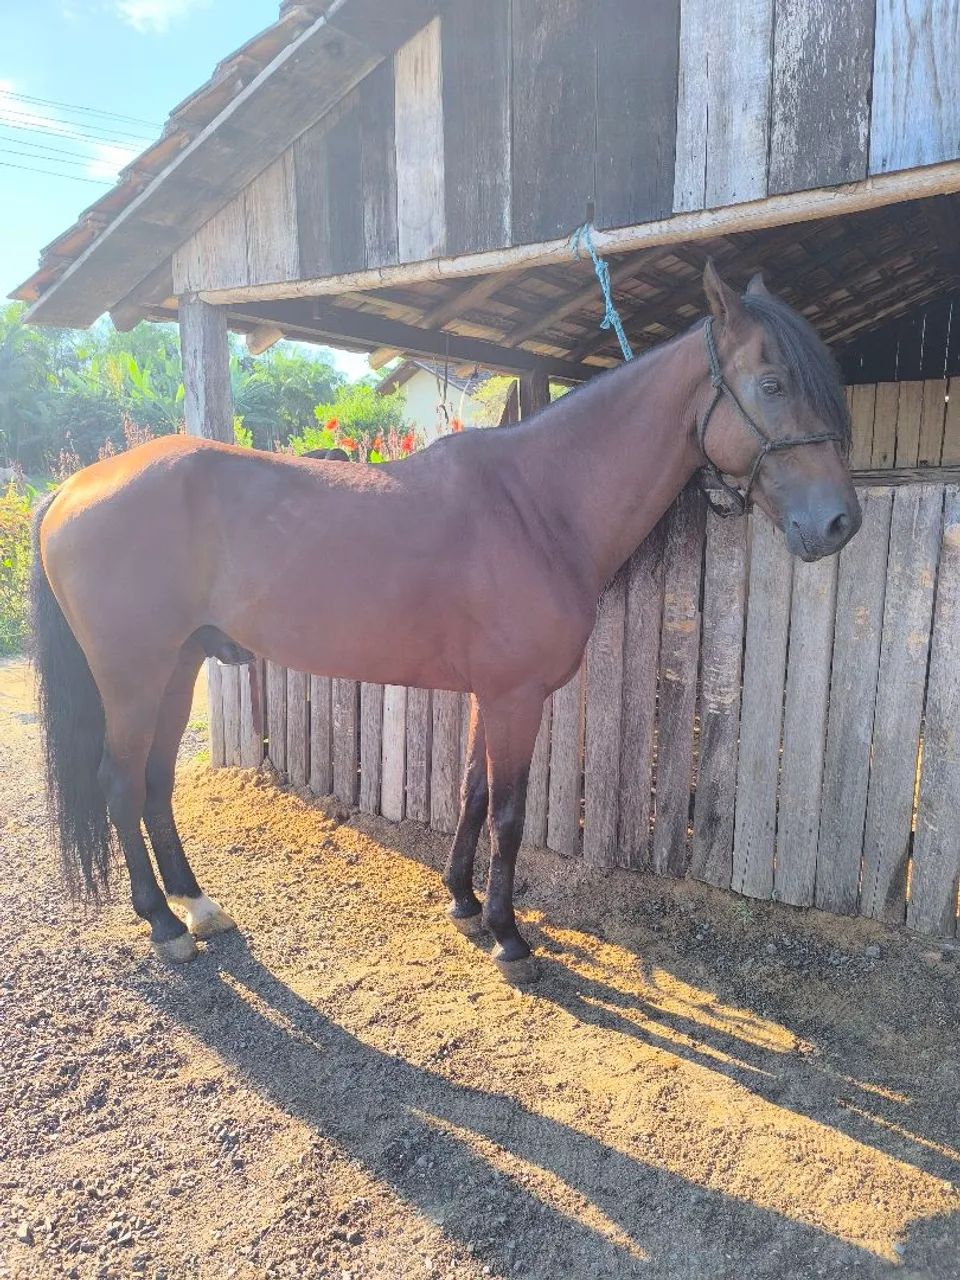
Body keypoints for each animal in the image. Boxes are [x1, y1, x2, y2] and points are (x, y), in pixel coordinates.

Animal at [30, 265, 860, 983]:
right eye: (773, 383)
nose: (838, 522)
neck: (538, 506)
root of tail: (73, 487)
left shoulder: (488, 697)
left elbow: (471, 794)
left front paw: (462, 903)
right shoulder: (516, 698)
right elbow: (510, 813)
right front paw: (509, 937)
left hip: (178, 667)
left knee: (155, 783)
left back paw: (198, 906)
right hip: (134, 676)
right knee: (118, 784)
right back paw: (163, 925)